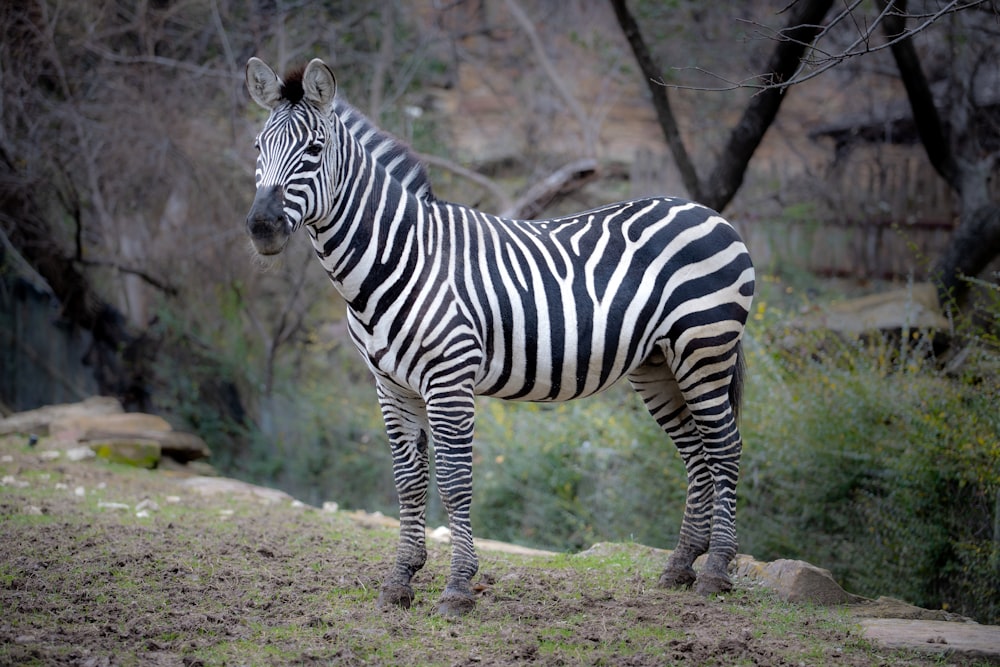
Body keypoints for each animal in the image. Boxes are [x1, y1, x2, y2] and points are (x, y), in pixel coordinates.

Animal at [246, 57, 752, 616]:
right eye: (258, 148)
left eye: (314, 150)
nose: (262, 226)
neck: (400, 257)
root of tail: (705, 211)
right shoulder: (390, 385)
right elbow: (408, 482)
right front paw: (400, 580)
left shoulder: (449, 379)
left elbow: (453, 481)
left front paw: (457, 587)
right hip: (658, 365)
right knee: (697, 453)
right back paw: (680, 566)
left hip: (704, 348)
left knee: (725, 446)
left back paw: (716, 570)